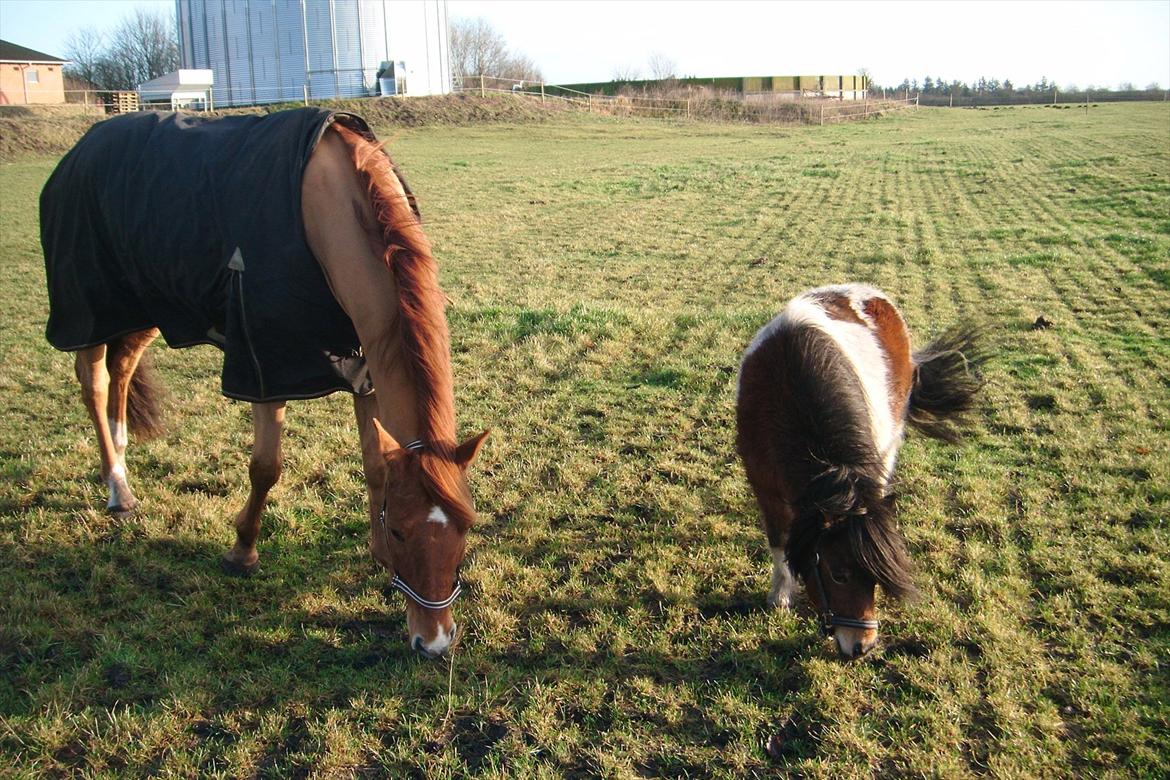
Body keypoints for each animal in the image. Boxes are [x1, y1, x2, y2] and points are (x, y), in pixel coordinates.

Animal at [42, 109, 484, 659]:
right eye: (403, 532)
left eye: (466, 528)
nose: (435, 642)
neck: (324, 209)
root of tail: (84, 145)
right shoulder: (265, 366)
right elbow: (266, 468)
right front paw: (242, 551)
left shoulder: (364, 364)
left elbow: (376, 467)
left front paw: (375, 555)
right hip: (94, 307)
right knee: (96, 383)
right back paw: (117, 488)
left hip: (147, 305)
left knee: (123, 369)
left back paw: (122, 463)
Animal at [739, 284, 978, 654]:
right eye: (839, 574)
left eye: (874, 578)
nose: (863, 647)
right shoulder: (764, 486)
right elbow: (779, 541)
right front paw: (780, 595)